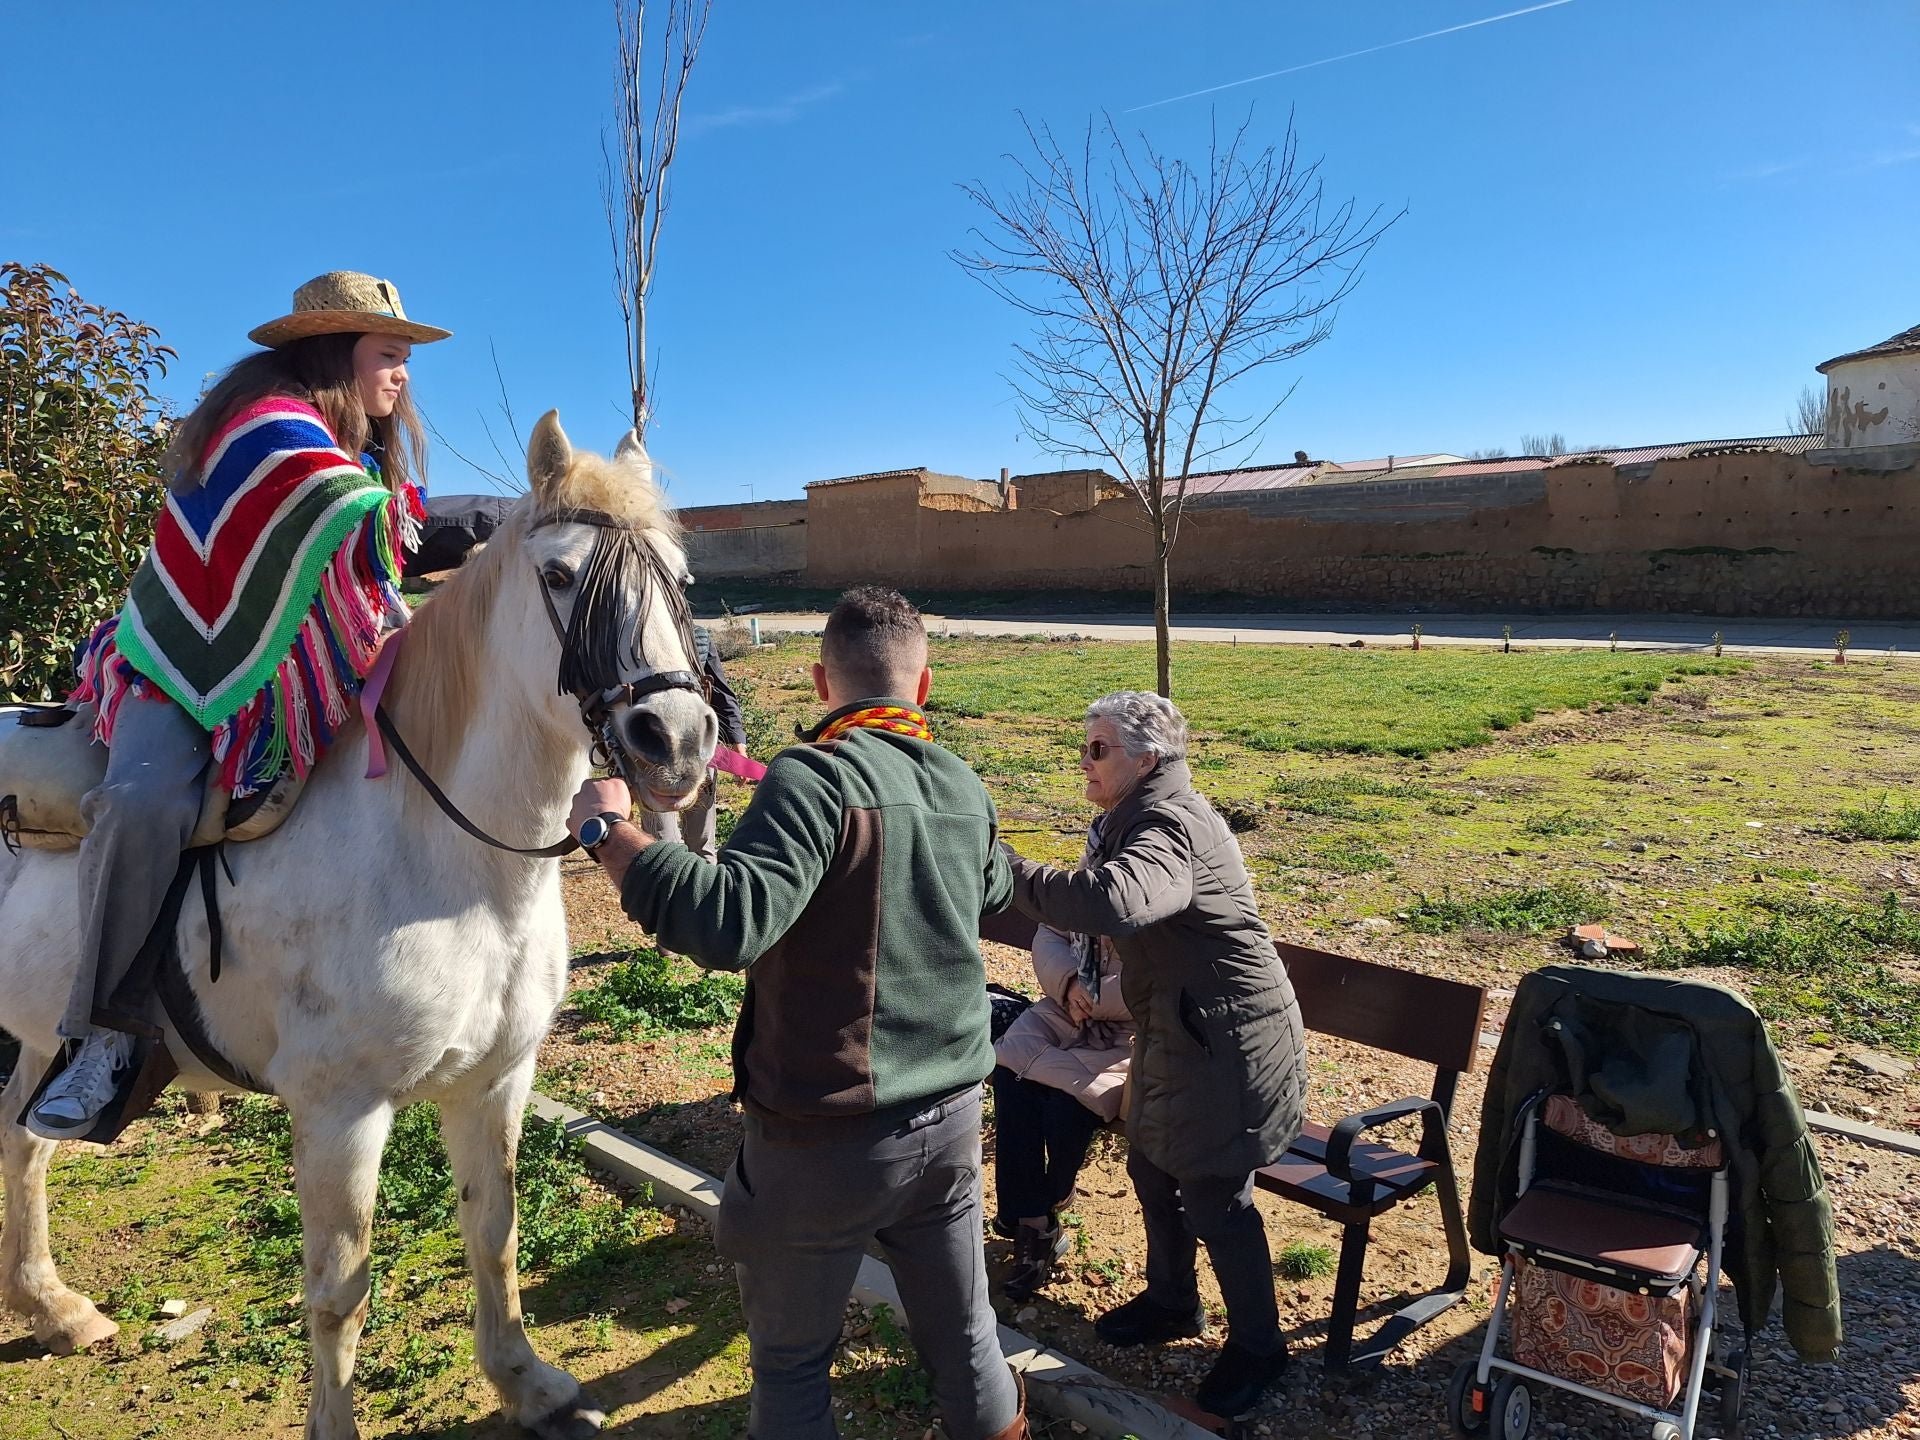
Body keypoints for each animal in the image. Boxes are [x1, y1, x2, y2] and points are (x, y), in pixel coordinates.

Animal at [0, 414, 721, 1440]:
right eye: (558, 576)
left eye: (679, 581)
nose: (680, 741)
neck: (449, 865)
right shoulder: (340, 1113)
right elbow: (340, 1292)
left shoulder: (495, 1082)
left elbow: (492, 1234)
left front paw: (528, 1385)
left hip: (37, 1036)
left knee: (23, 1141)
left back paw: (55, 1309)